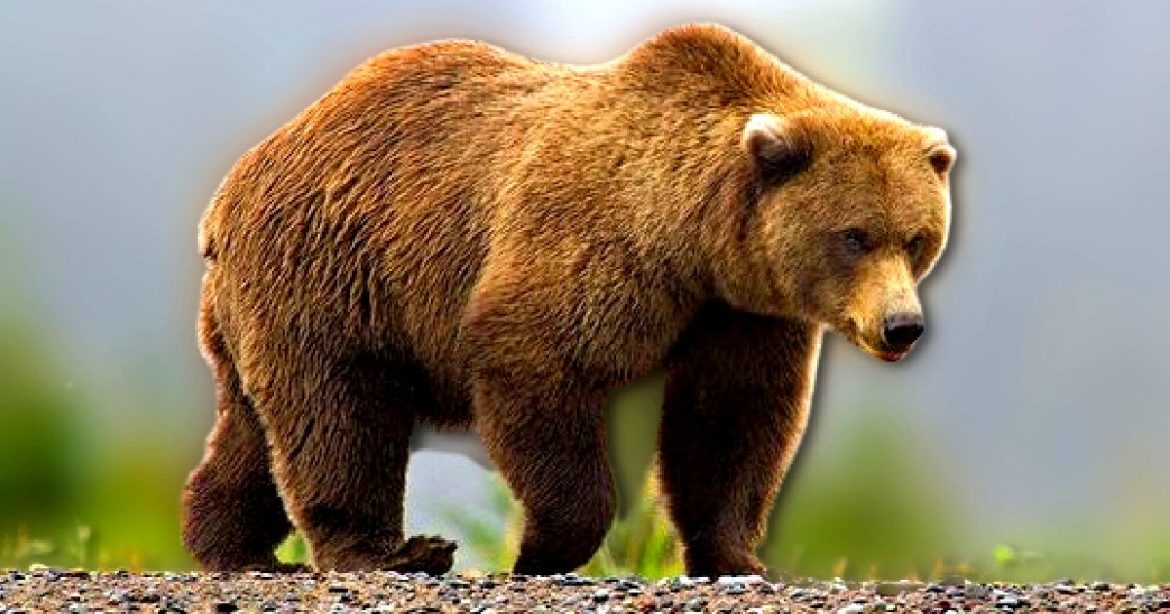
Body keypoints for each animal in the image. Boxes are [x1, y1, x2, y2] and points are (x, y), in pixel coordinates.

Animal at [182, 23, 955, 577]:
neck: (695, 238)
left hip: (265, 303)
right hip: (335, 269)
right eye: (853, 235)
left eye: (917, 238)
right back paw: (391, 553)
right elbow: (536, 359)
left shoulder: (741, 311)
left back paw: (230, 545)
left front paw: (738, 557)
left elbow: (731, 421)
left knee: (253, 427)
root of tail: (231, 189)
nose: (902, 326)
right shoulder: (594, 242)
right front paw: (541, 549)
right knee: (338, 412)